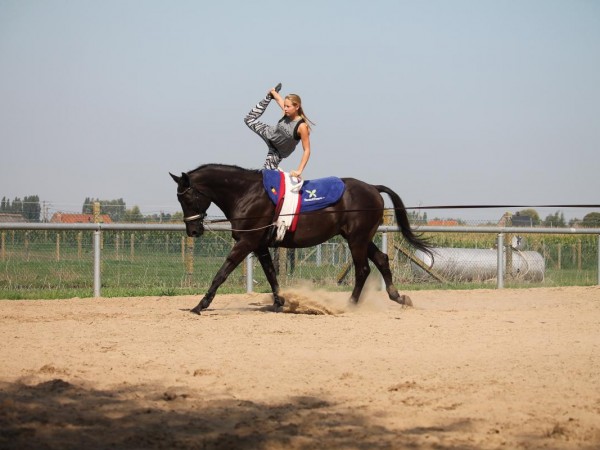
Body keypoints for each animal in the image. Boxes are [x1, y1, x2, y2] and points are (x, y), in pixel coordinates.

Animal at [170, 163, 432, 314]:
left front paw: (200, 305)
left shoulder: (246, 243)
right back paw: (398, 296)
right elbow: (271, 274)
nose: (193, 231)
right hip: (361, 238)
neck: (247, 194)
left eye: (187, 197)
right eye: (179, 198)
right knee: (382, 259)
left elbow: (222, 273)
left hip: (357, 240)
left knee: (363, 270)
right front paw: (279, 302)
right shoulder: (261, 245)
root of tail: (373, 188)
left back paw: (350, 305)